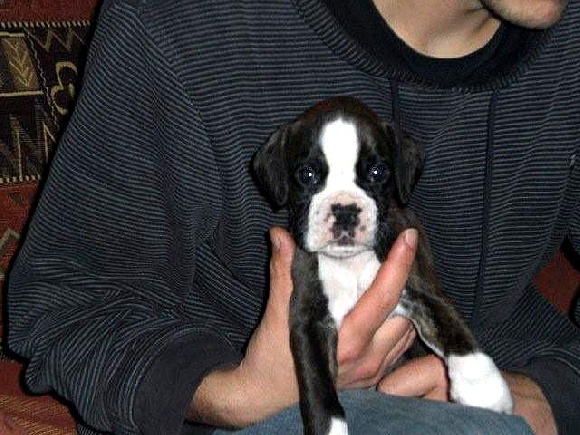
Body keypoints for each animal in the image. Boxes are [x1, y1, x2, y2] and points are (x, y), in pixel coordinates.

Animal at [253, 96, 512, 435]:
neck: (352, 262)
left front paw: (483, 388)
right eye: (307, 175)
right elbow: (319, 390)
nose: (345, 210)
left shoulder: (418, 283)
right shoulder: (310, 320)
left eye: (377, 172)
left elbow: (451, 326)